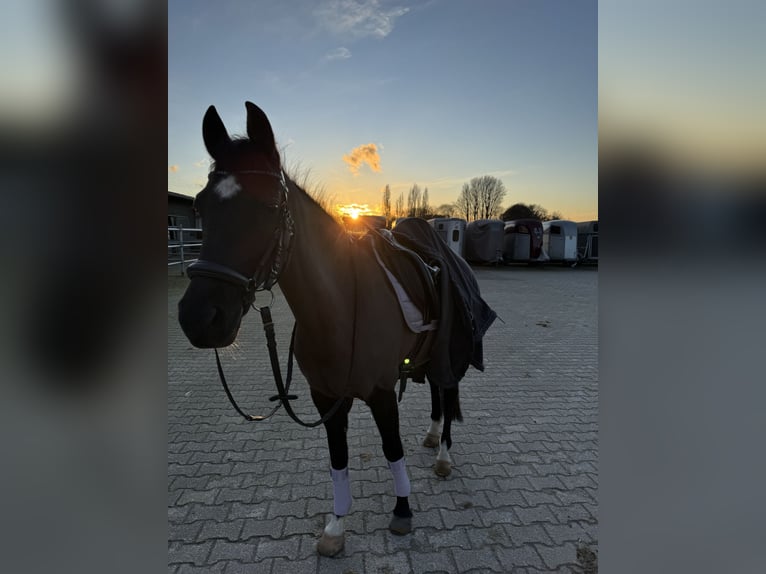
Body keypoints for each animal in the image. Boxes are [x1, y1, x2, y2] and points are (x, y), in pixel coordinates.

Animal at [177, 102, 492, 560]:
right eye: (201, 206)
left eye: (270, 205)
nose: (198, 318)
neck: (340, 307)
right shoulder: (326, 397)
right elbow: (338, 459)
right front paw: (336, 526)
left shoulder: (381, 393)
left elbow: (392, 449)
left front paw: (402, 510)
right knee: (437, 391)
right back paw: (433, 436)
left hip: (453, 352)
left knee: (448, 393)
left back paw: (444, 456)